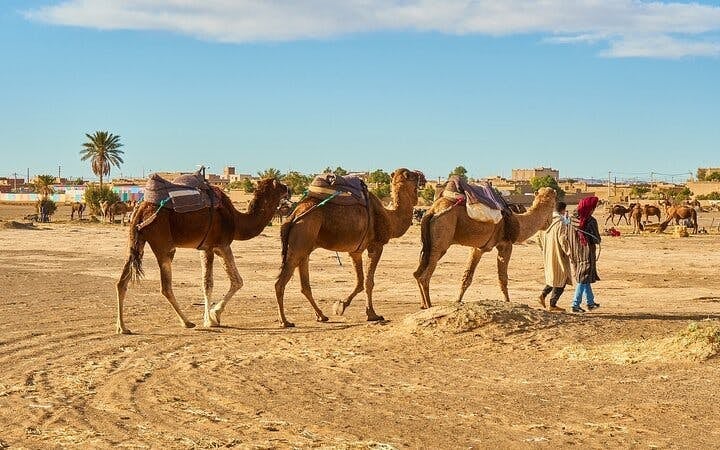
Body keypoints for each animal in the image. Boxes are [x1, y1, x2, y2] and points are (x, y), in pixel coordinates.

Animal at [115, 178, 290, 334]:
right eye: (279, 183)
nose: (288, 189)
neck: (236, 220)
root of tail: (141, 209)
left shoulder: (212, 248)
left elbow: (236, 281)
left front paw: (214, 315)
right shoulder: (216, 246)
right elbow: (210, 283)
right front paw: (210, 319)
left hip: (136, 241)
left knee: (121, 282)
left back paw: (122, 327)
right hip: (163, 243)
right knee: (165, 287)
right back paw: (187, 322)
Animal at [274, 168, 426, 328]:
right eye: (413, 175)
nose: (423, 176)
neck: (390, 218)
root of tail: (293, 216)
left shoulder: (355, 251)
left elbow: (360, 282)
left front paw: (341, 306)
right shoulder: (376, 246)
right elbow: (368, 282)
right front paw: (372, 314)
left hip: (305, 245)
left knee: (304, 285)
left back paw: (321, 316)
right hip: (302, 237)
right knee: (280, 282)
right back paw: (285, 321)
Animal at [414, 187, 557, 309]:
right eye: (553, 202)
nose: (549, 222)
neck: (519, 222)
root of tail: (432, 210)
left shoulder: (478, 248)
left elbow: (467, 276)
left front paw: (458, 301)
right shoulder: (506, 244)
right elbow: (502, 278)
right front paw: (508, 302)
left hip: (428, 243)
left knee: (417, 272)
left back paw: (423, 305)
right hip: (442, 235)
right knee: (425, 276)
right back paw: (429, 306)